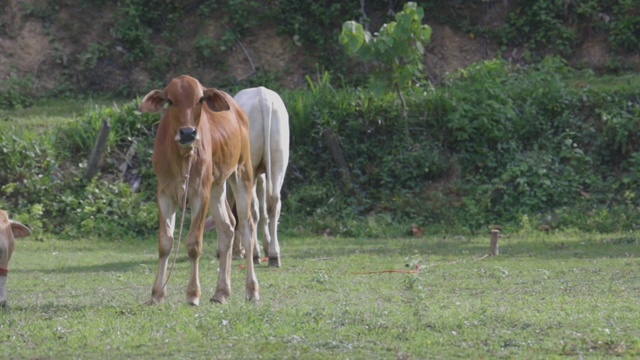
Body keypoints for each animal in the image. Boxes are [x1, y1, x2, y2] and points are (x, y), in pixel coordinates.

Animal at [140, 74, 258, 306]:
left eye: (200, 99)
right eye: (170, 101)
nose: (188, 132)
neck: (182, 158)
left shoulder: (199, 195)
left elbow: (194, 244)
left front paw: (193, 293)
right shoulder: (164, 194)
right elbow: (165, 243)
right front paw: (157, 294)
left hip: (242, 174)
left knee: (247, 227)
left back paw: (251, 289)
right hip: (217, 187)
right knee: (227, 227)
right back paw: (222, 291)